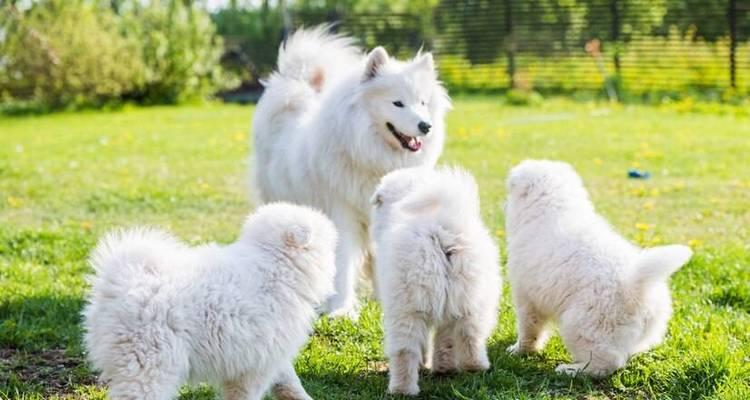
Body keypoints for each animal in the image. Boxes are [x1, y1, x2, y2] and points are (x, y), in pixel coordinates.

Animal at [82, 203, 338, 400]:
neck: (275, 262)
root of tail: (122, 280)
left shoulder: (267, 354)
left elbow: (288, 381)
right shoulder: (255, 366)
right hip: (150, 362)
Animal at [253, 26, 452, 318]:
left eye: (423, 103)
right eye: (398, 103)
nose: (425, 126)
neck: (371, 156)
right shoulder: (343, 213)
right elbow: (343, 264)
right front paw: (342, 310)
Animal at [372, 167, 502, 396]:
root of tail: (443, 230)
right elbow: (445, 340)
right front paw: (443, 367)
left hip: (406, 307)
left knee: (404, 350)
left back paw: (401, 389)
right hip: (472, 299)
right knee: (470, 336)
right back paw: (470, 368)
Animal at [506, 159, 692, 378]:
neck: (555, 209)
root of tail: (634, 288)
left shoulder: (527, 296)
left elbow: (529, 329)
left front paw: (519, 350)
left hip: (583, 324)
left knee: (606, 362)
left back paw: (571, 370)